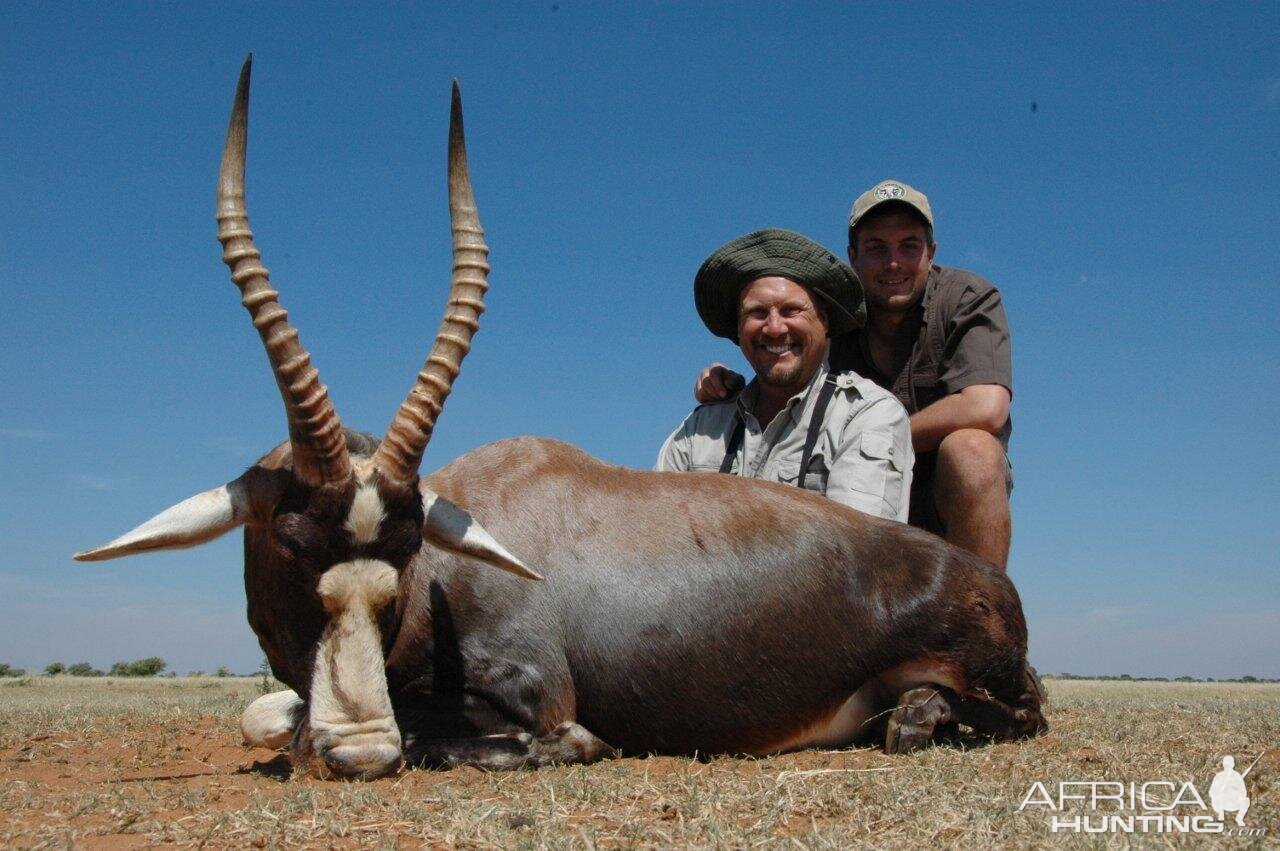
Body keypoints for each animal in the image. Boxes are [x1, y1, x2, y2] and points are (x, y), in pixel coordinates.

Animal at [74, 56, 1044, 778]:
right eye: (288, 537)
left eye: (405, 547)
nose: (359, 750)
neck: (445, 575)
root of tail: (979, 577)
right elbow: (269, 715)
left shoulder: (538, 695)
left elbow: (528, 735)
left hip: (1001, 686)